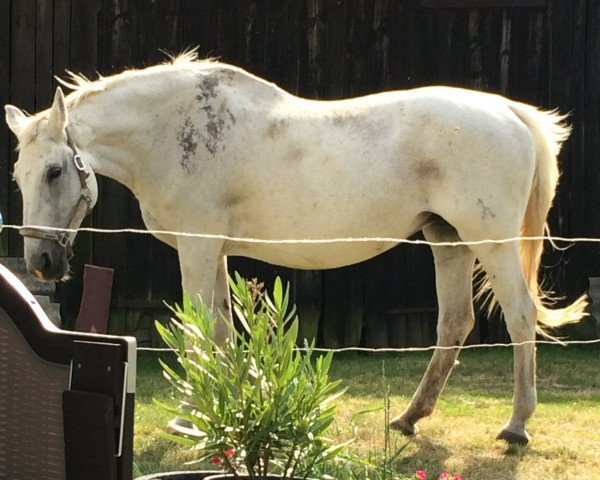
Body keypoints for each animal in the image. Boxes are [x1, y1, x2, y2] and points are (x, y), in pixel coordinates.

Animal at [3, 51, 584, 442]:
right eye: (19, 175)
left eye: (54, 171)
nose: (42, 262)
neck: (171, 132)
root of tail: (510, 113)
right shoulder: (215, 252)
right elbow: (221, 331)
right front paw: (225, 407)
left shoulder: (197, 248)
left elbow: (199, 332)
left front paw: (191, 417)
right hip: (449, 240)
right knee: (455, 324)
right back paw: (409, 418)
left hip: (492, 242)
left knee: (519, 316)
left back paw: (516, 425)